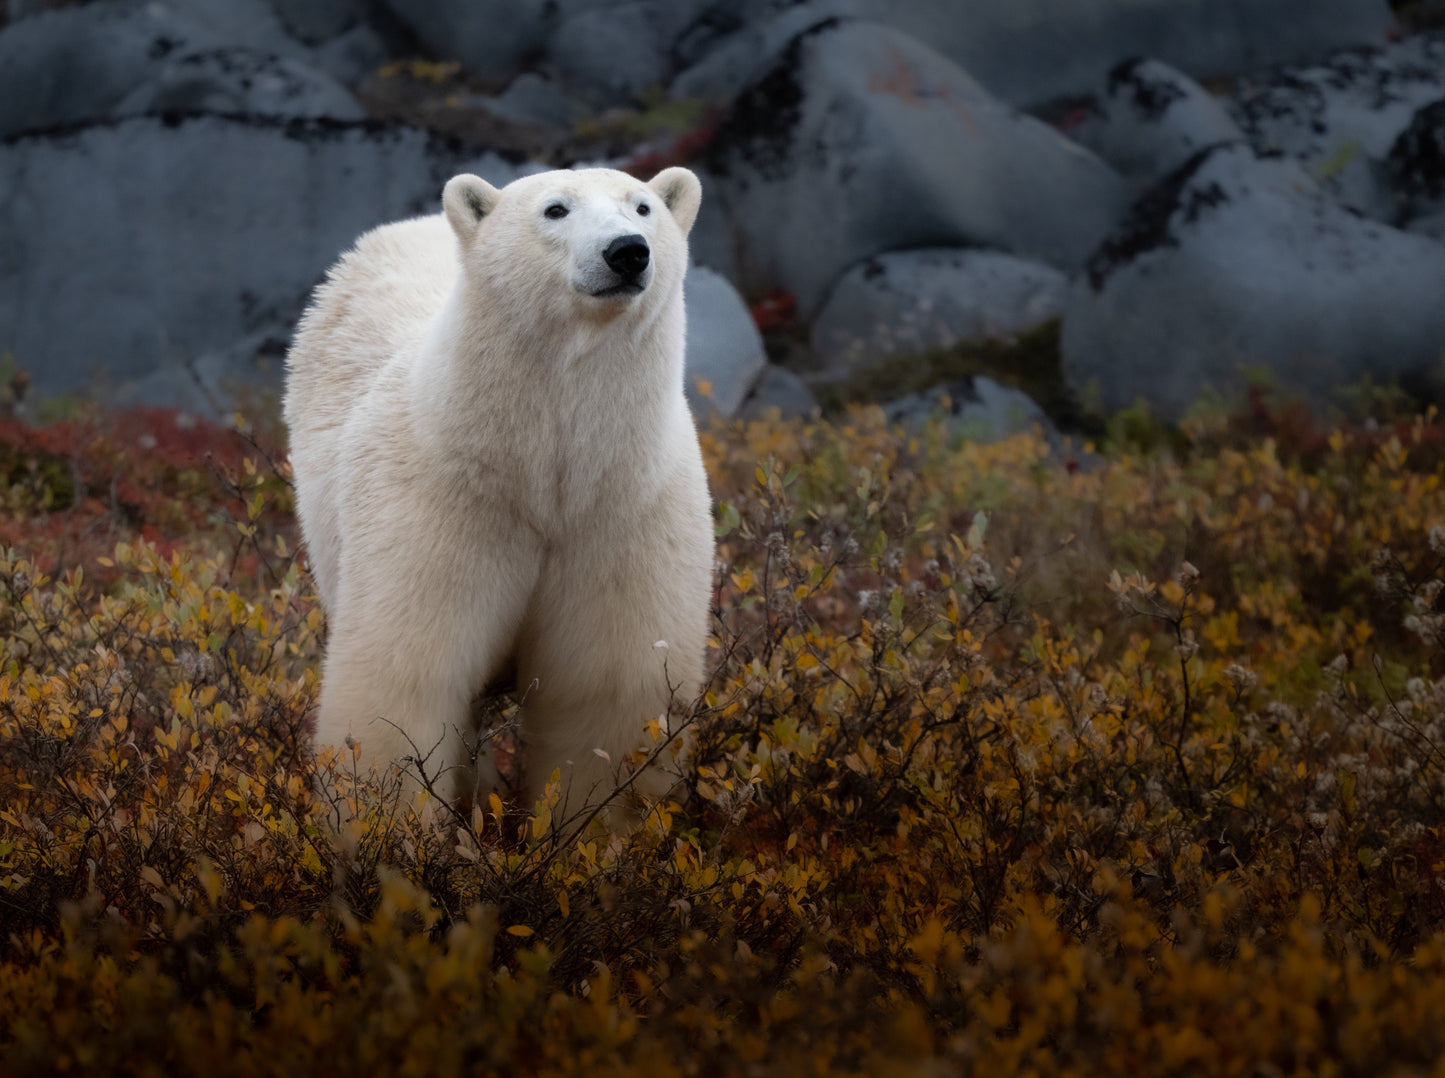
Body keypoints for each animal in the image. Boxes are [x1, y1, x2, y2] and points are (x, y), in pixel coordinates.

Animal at [281, 164, 710, 809]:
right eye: (555, 209)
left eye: (642, 207)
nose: (627, 252)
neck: (536, 478)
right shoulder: (441, 503)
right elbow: (404, 680)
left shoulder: (627, 515)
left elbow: (608, 696)